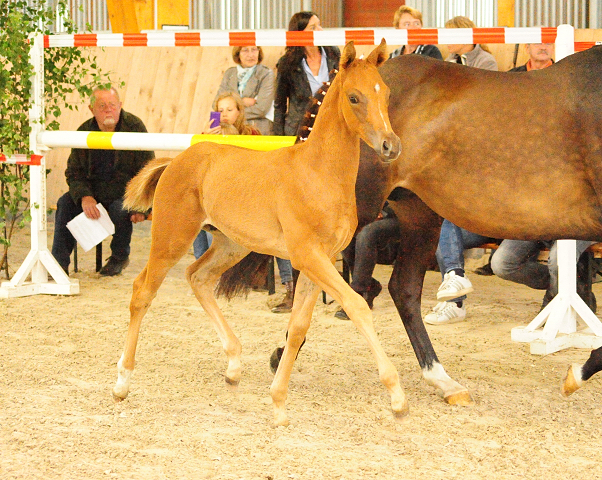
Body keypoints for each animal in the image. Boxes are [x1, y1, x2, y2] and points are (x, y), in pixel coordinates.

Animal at [113, 39, 404, 426]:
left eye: (384, 93)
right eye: (354, 97)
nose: (391, 146)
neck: (319, 173)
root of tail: (174, 161)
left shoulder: (319, 262)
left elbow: (298, 328)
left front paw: (278, 403)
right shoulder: (308, 256)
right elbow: (357, 305)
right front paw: (397, 395)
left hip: (231, 244)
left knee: (198, 277)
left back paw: (234, 364)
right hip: (171, 237)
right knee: (142, 291)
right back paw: (121, 382)